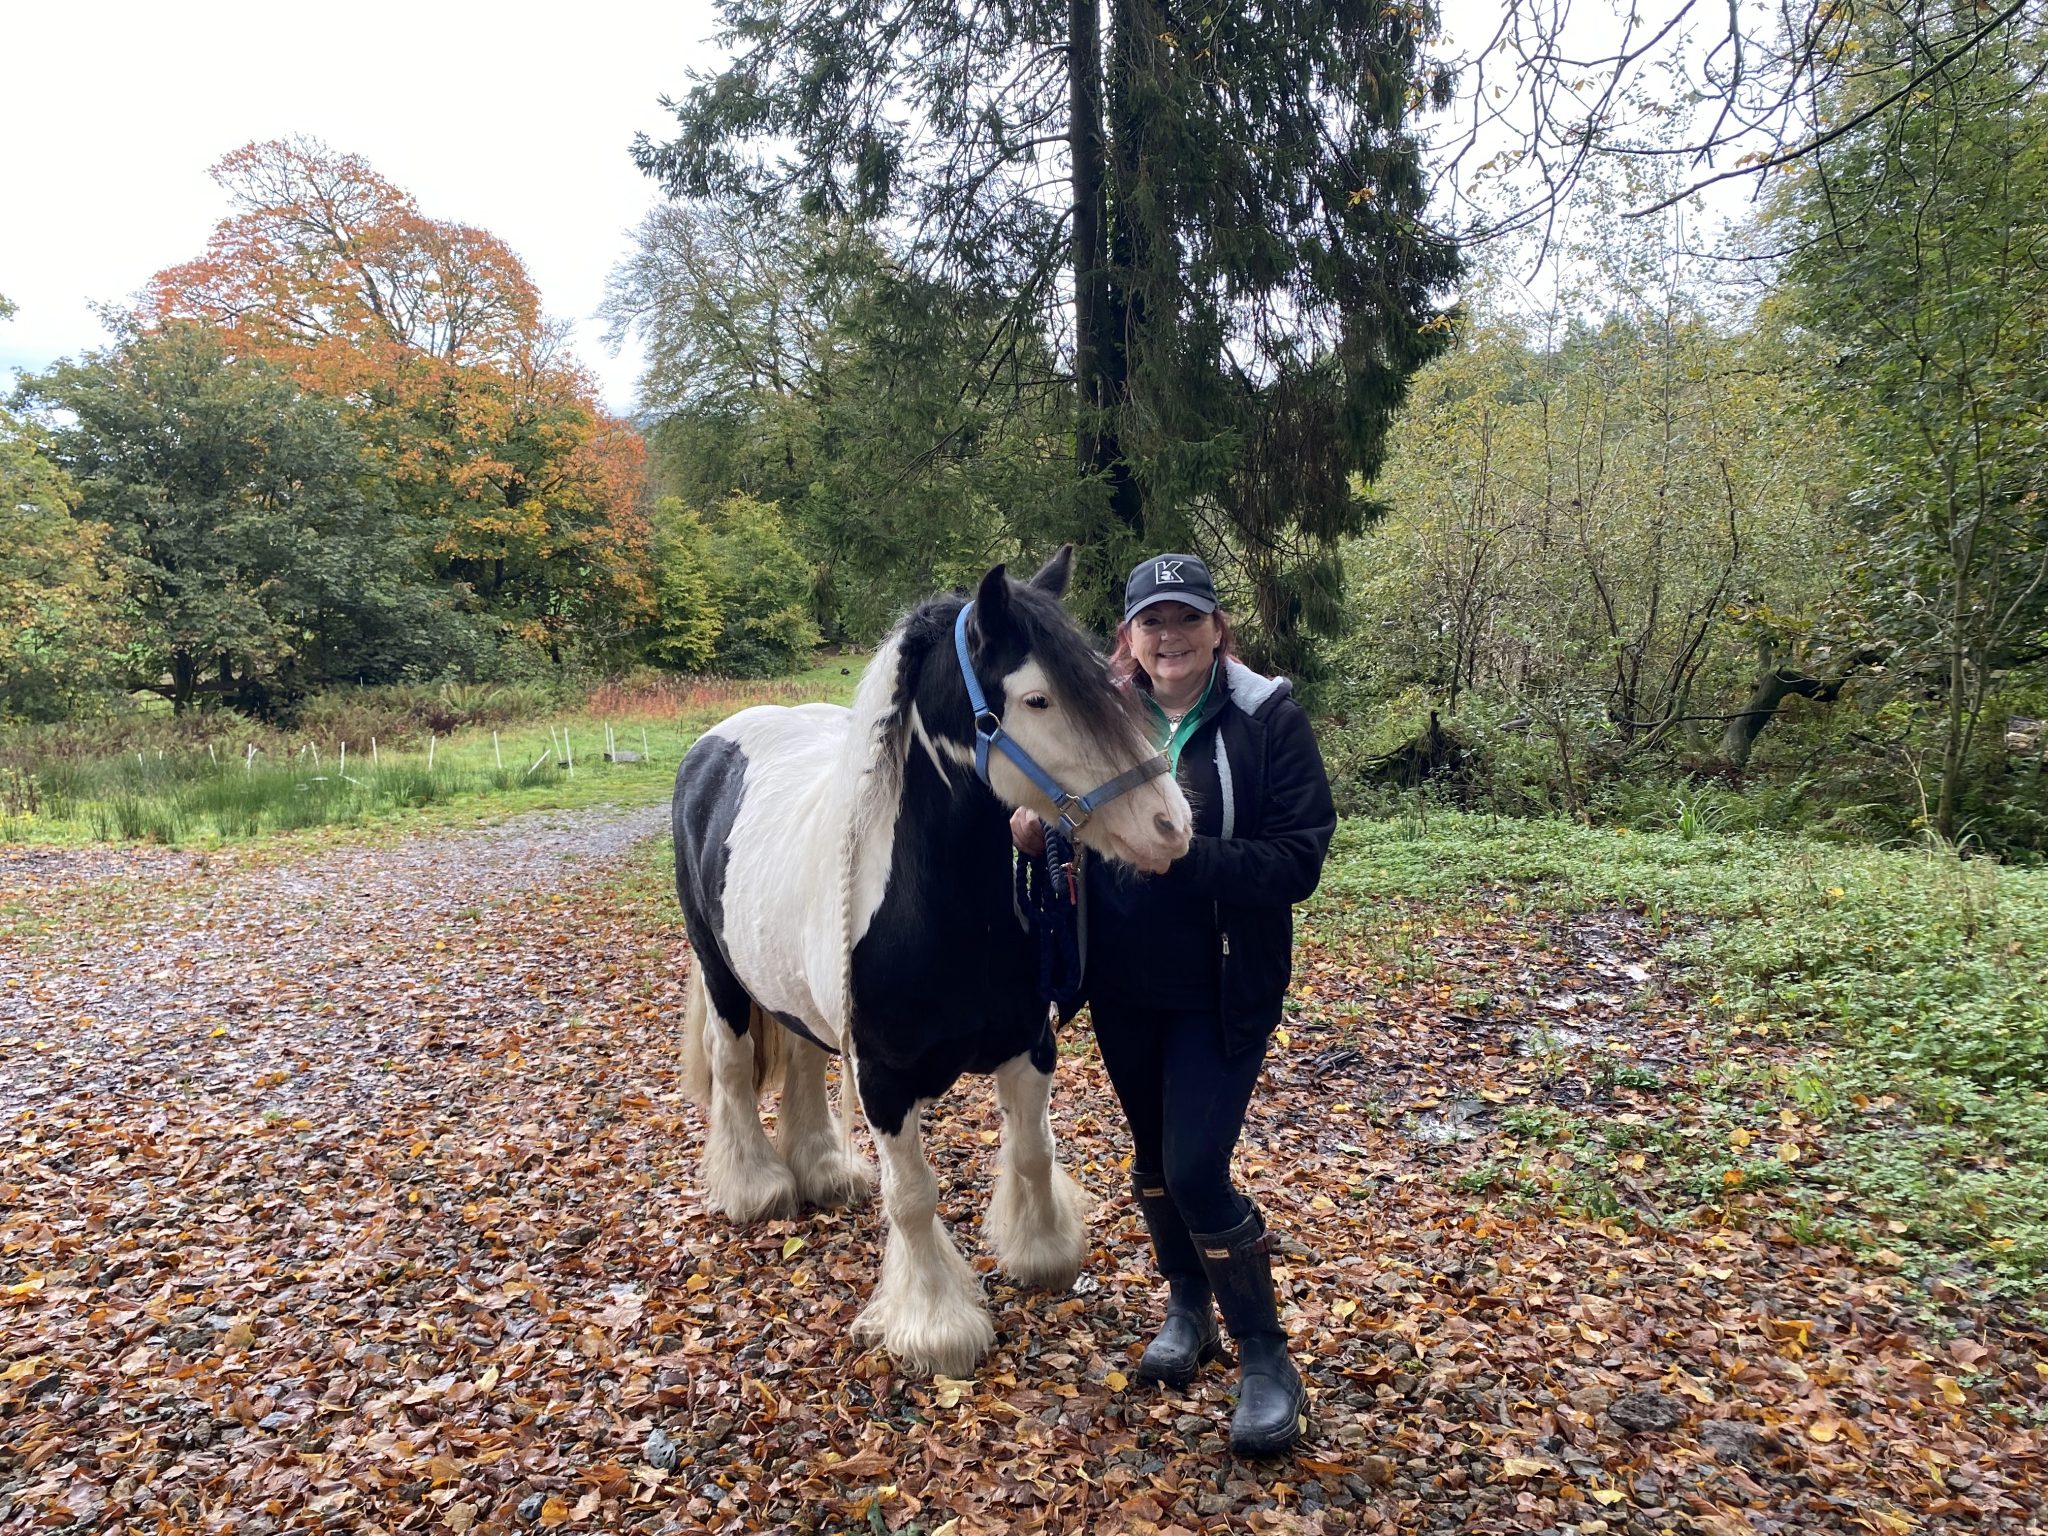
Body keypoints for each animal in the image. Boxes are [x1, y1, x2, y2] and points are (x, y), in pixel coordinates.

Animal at [671, 549, 1193, 1376]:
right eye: (1037, 698)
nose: (1170, 825)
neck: (943, 912)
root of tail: (713, 744)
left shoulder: (1028, 1045)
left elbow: (1035, 1151)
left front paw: (1042, 1251)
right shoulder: (883, 1082)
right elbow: (913, 1196)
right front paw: (936, 1325)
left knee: (804, 1062)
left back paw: (825, 1172)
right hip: (723, 980)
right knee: (732, 1069)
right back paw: (757, 1186)